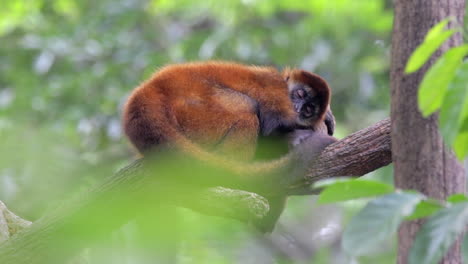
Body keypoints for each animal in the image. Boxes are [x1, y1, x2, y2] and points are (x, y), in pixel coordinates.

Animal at [123, 60, 336, 232]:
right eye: (299, 93)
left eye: (309, 109)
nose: (298, 108)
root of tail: (149, 90)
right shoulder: (273, 86)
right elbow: (270, 126)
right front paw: (302, 133)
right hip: (194, 113)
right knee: (246, 107)